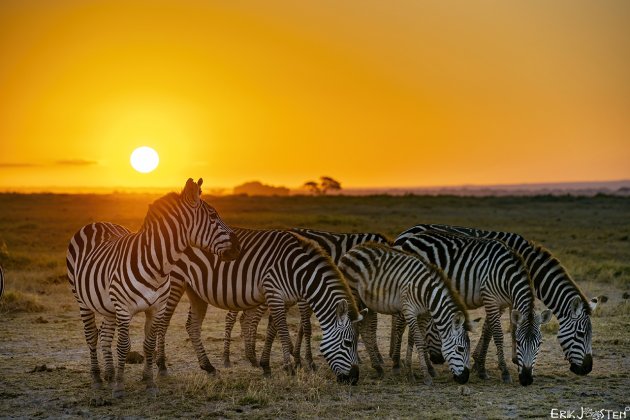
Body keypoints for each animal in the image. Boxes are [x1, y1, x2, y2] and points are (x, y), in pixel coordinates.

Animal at [66, 178, 239, 398]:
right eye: (213, 216)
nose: (238, 248)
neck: (156, 265)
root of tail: (97, 223)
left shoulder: (155, 308)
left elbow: (148, 344)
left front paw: (149, 382)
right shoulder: (124, 309)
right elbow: (123, 345)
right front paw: (120, 387)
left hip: (108, 306)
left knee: (105, 336)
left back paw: (110, 374)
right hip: (83, 300)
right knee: (91, 336)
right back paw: (97, 378)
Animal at [158, 228, 366, 386]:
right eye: (348, 343)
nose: (354, 379)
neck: (298, 272)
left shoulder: (282, 299)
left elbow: (271, 331)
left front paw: (266, 365)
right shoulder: (273, 292)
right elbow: (282, 331)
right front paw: (289, 367)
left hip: (195, 291)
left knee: (192, 326)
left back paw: (208, 366)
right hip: (175, 282)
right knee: (163, 322)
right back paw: (161, 365)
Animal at [226, 230, 396, 370]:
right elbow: (308, 326)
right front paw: (305, 360)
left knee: (247, 317)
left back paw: (252, 355)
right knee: (237, 317)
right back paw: (229, 356)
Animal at [338, 243, 472, 384]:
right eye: (461, 349)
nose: (465, 378)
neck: (427, 293)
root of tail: (353, 249)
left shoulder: (422, 314)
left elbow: (415, 339)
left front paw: (410, 371)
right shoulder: (409, 310)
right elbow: (419, 340)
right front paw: (425, 375)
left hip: (367, 302)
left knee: (364, 328)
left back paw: (378, 368)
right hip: (354, 295)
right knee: (356, 325)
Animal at [398, 225, 596, 376]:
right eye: (580, 334)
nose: (587, 369)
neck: (529, 264)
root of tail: (406, 233)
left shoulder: (508, 298)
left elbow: (499, 327)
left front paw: (483, 361)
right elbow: (499, 329)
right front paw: (491, 363)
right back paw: (398, 363)